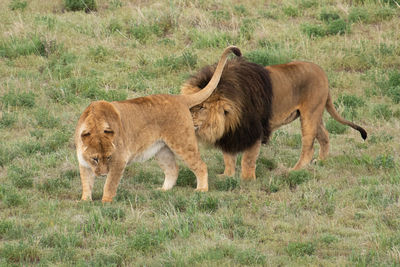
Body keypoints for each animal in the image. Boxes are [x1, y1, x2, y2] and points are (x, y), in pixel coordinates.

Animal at [181, 57, 366, 181]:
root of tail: (322, 72)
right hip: (315, 114)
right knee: (325, 136)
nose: (187, 120)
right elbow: (228, 157)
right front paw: (226, 176)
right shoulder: (231, 132)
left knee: (308, 146)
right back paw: (321, 162)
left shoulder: (254, 130)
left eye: (201, 107)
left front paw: (247, 180)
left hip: (310, 114)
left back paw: (295, 170)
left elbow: (248, 159)